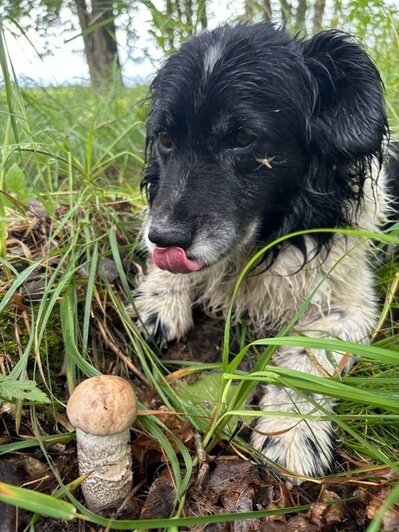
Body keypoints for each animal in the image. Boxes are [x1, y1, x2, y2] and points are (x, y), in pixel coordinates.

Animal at [134, 23, 396, 482]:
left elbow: (306, 357)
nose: (165, 239)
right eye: (165, 138)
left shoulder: (350, 304)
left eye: (242, 138)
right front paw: (162, 296)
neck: (268, 238)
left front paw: (290, 432)